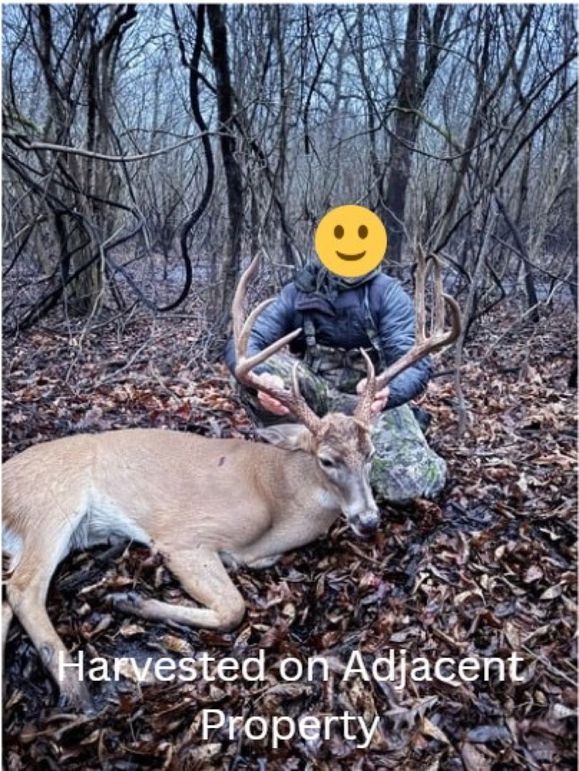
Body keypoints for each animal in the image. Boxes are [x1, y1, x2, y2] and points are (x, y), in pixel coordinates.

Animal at [2, 252, 460, 711]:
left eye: (370, 454)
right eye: (327, 460)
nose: (368, 519)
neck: (277, 495)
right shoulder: (183, 537)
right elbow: (232, 608)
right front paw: (128, 599)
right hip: (52, 507)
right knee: (23, 588)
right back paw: (76, 690)